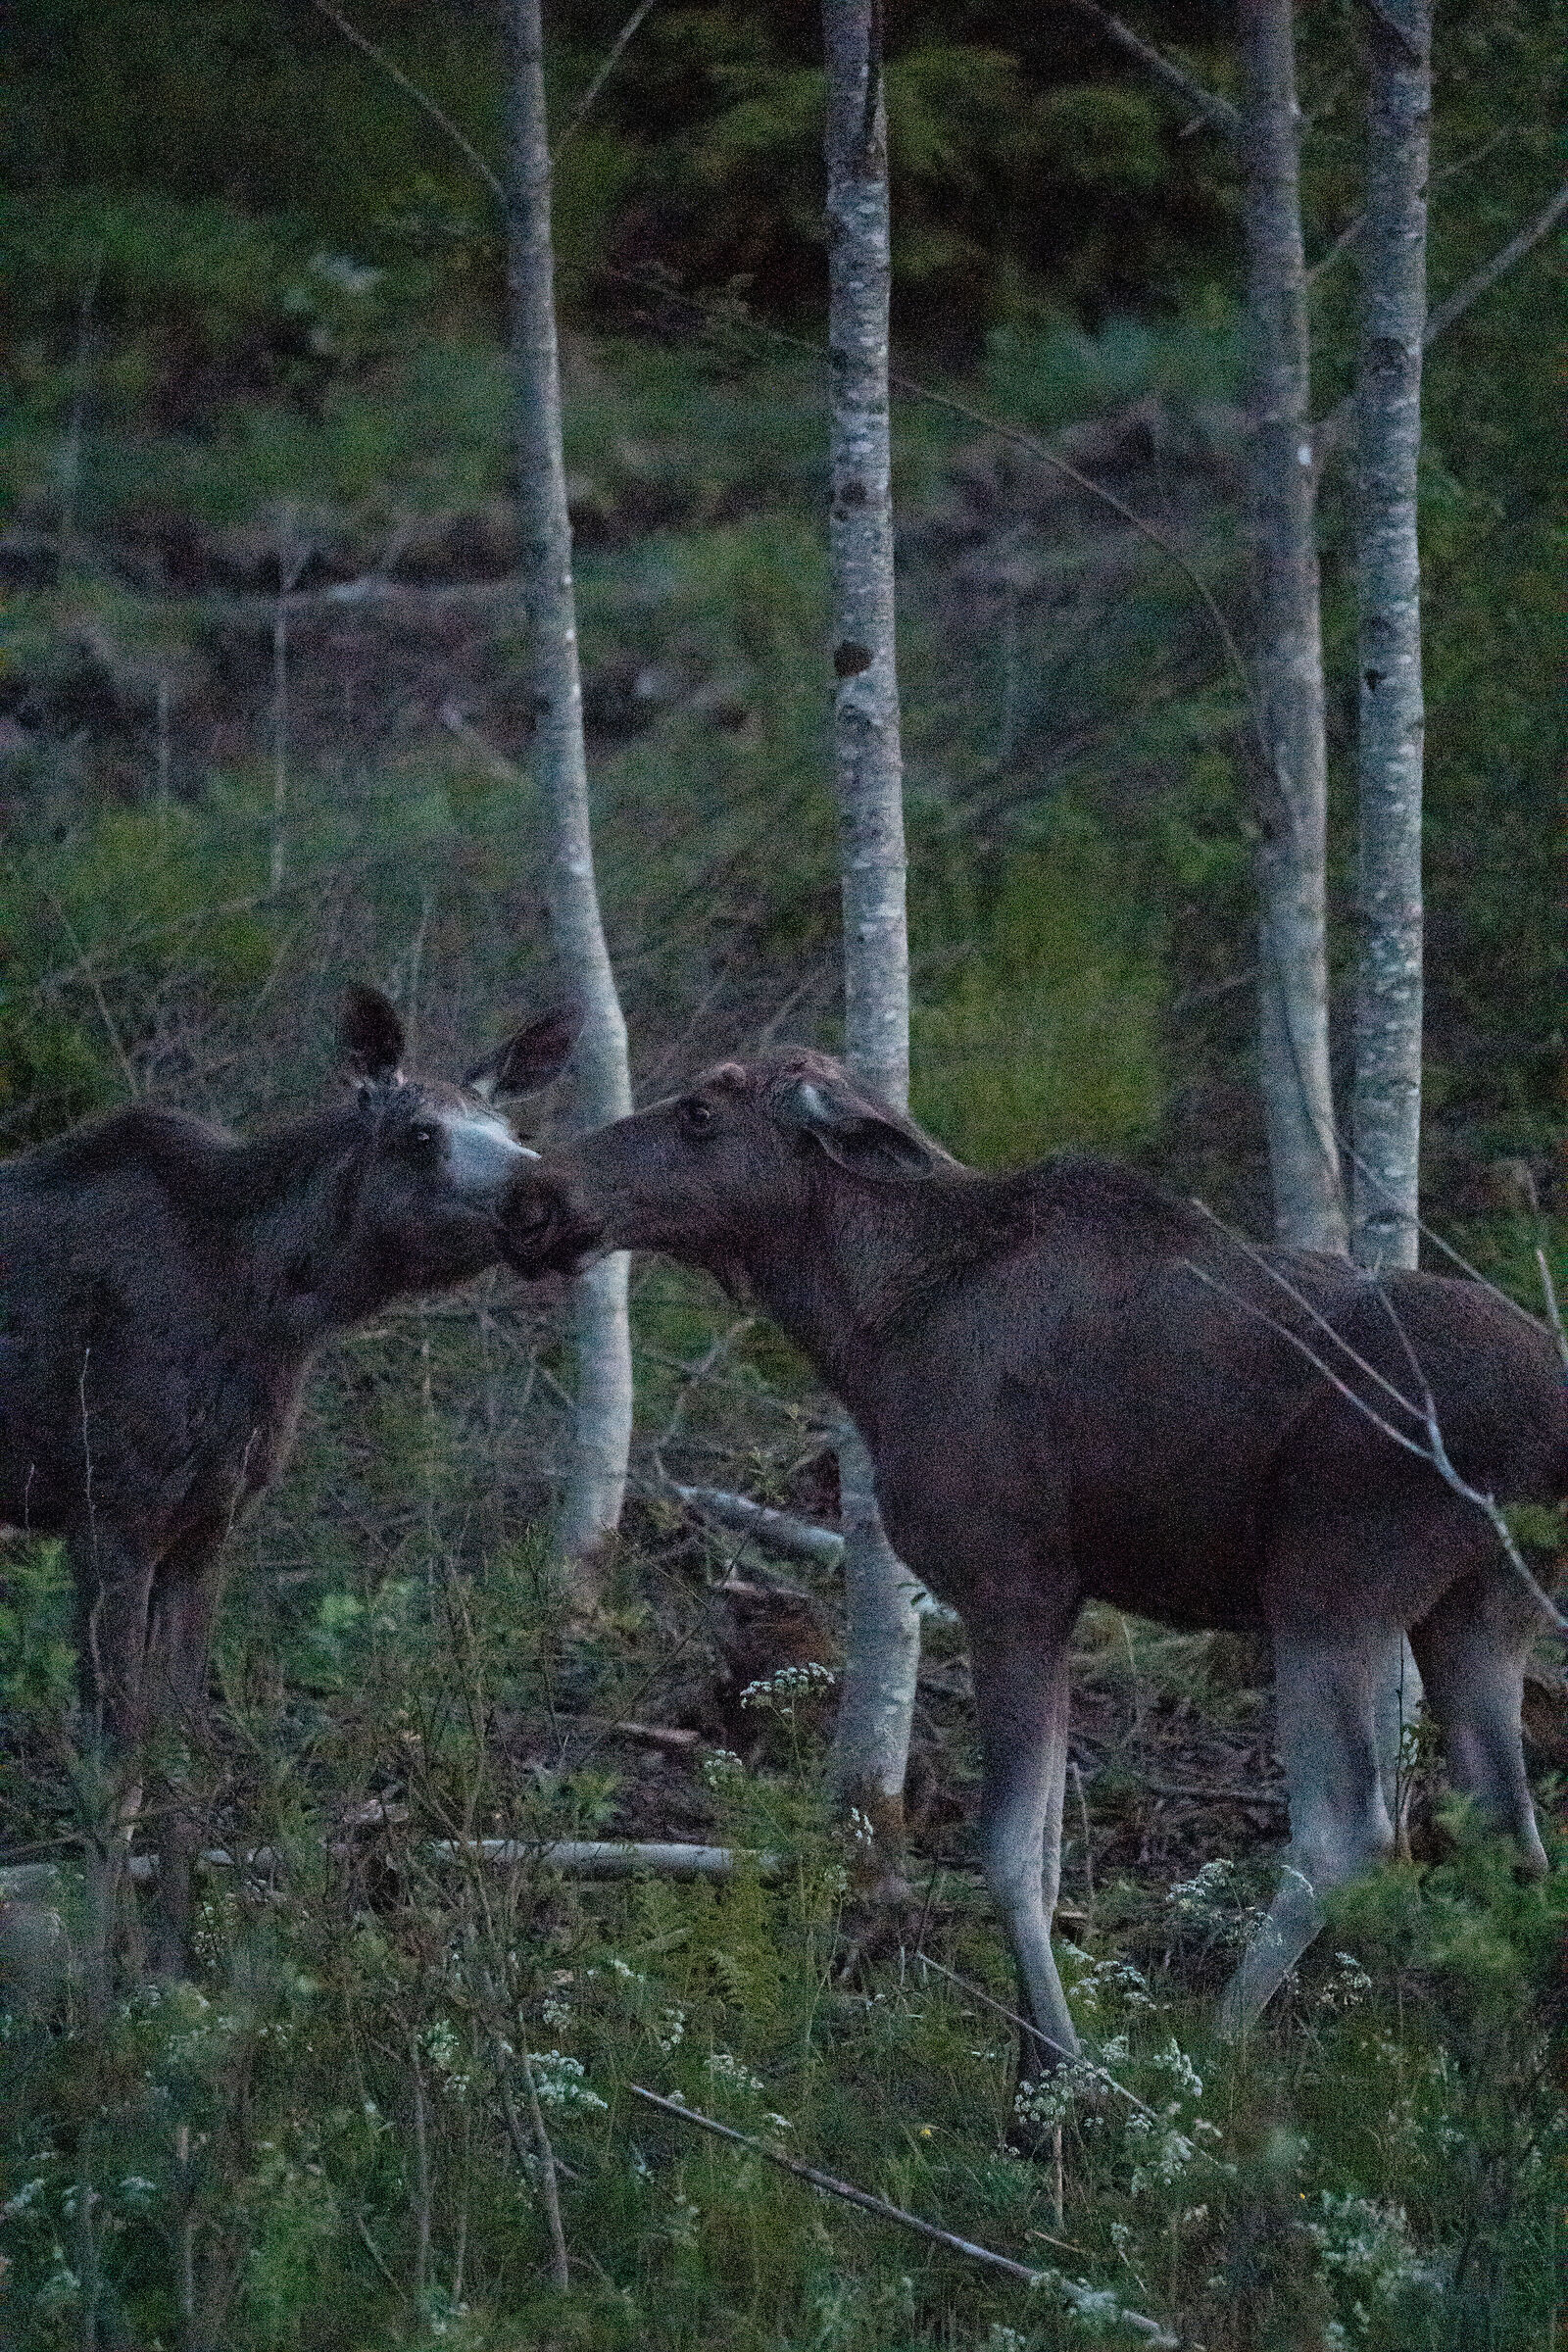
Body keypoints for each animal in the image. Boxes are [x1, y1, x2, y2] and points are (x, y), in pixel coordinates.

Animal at [0, 986, 578, 1975]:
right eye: (419, 1132)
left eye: (513, 1127)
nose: (538, 1191)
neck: (277, 1308)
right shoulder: (110, 1517)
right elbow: (110, 1773)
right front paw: (98, 1995)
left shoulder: (206, 1530)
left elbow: (185, 1756)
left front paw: (167, 1974)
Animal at [498, 1047, 1565, 2065]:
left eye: (700, 1112)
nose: (532, 1197)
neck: (869, 1334)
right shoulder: (1059, 1599)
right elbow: (1048, 1856)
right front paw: (1030, 2068)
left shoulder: (1009, 1583)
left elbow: (1009, 1854)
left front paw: (1058, 2075)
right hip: (1479, 1606)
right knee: (1508, 1825)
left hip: (1329, 1587)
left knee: (1348, 1830)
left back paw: (1218, 2051)